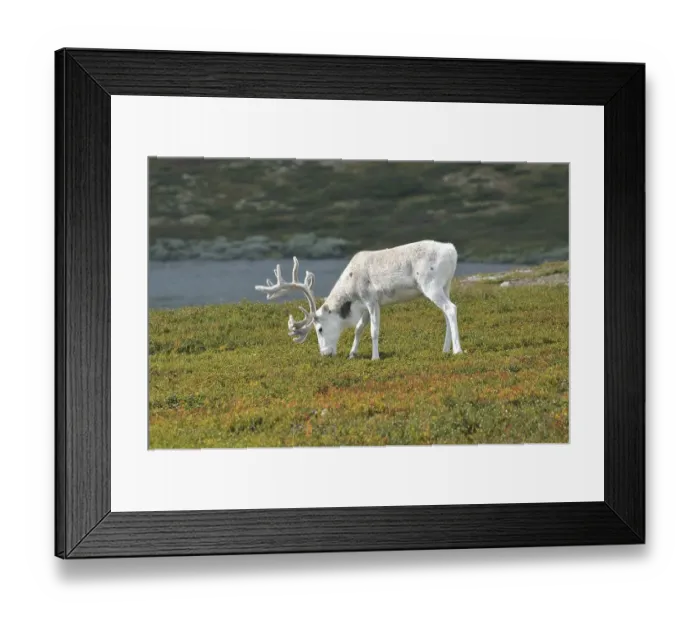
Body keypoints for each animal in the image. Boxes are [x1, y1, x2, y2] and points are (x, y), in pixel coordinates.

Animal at [254, 240, 463, 360]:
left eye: (319, 329)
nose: (325, 354)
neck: (351, 293)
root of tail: (452, 251)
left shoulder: (371, 300)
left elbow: (373, 331)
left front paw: (375, 357)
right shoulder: (364, 306)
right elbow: (358, 329)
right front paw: (352, 353)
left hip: (431, 285)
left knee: (451, 308)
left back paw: (457, 350)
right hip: (445, 285)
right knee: (446, 313)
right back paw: (445, 349)